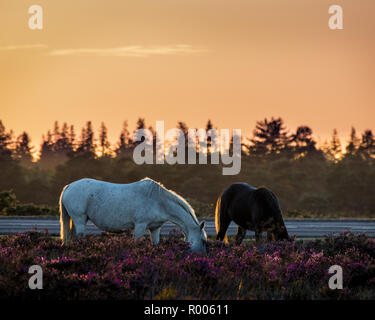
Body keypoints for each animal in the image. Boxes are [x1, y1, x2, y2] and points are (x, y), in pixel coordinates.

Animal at [60, 176, 210, 254]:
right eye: (203, 241)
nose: (201, 258)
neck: (158, 200)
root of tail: (68, 186)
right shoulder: (140, 226)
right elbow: (136, 243)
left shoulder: (155, 228)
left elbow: (155, 244)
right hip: (79, 220)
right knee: (80, 237)